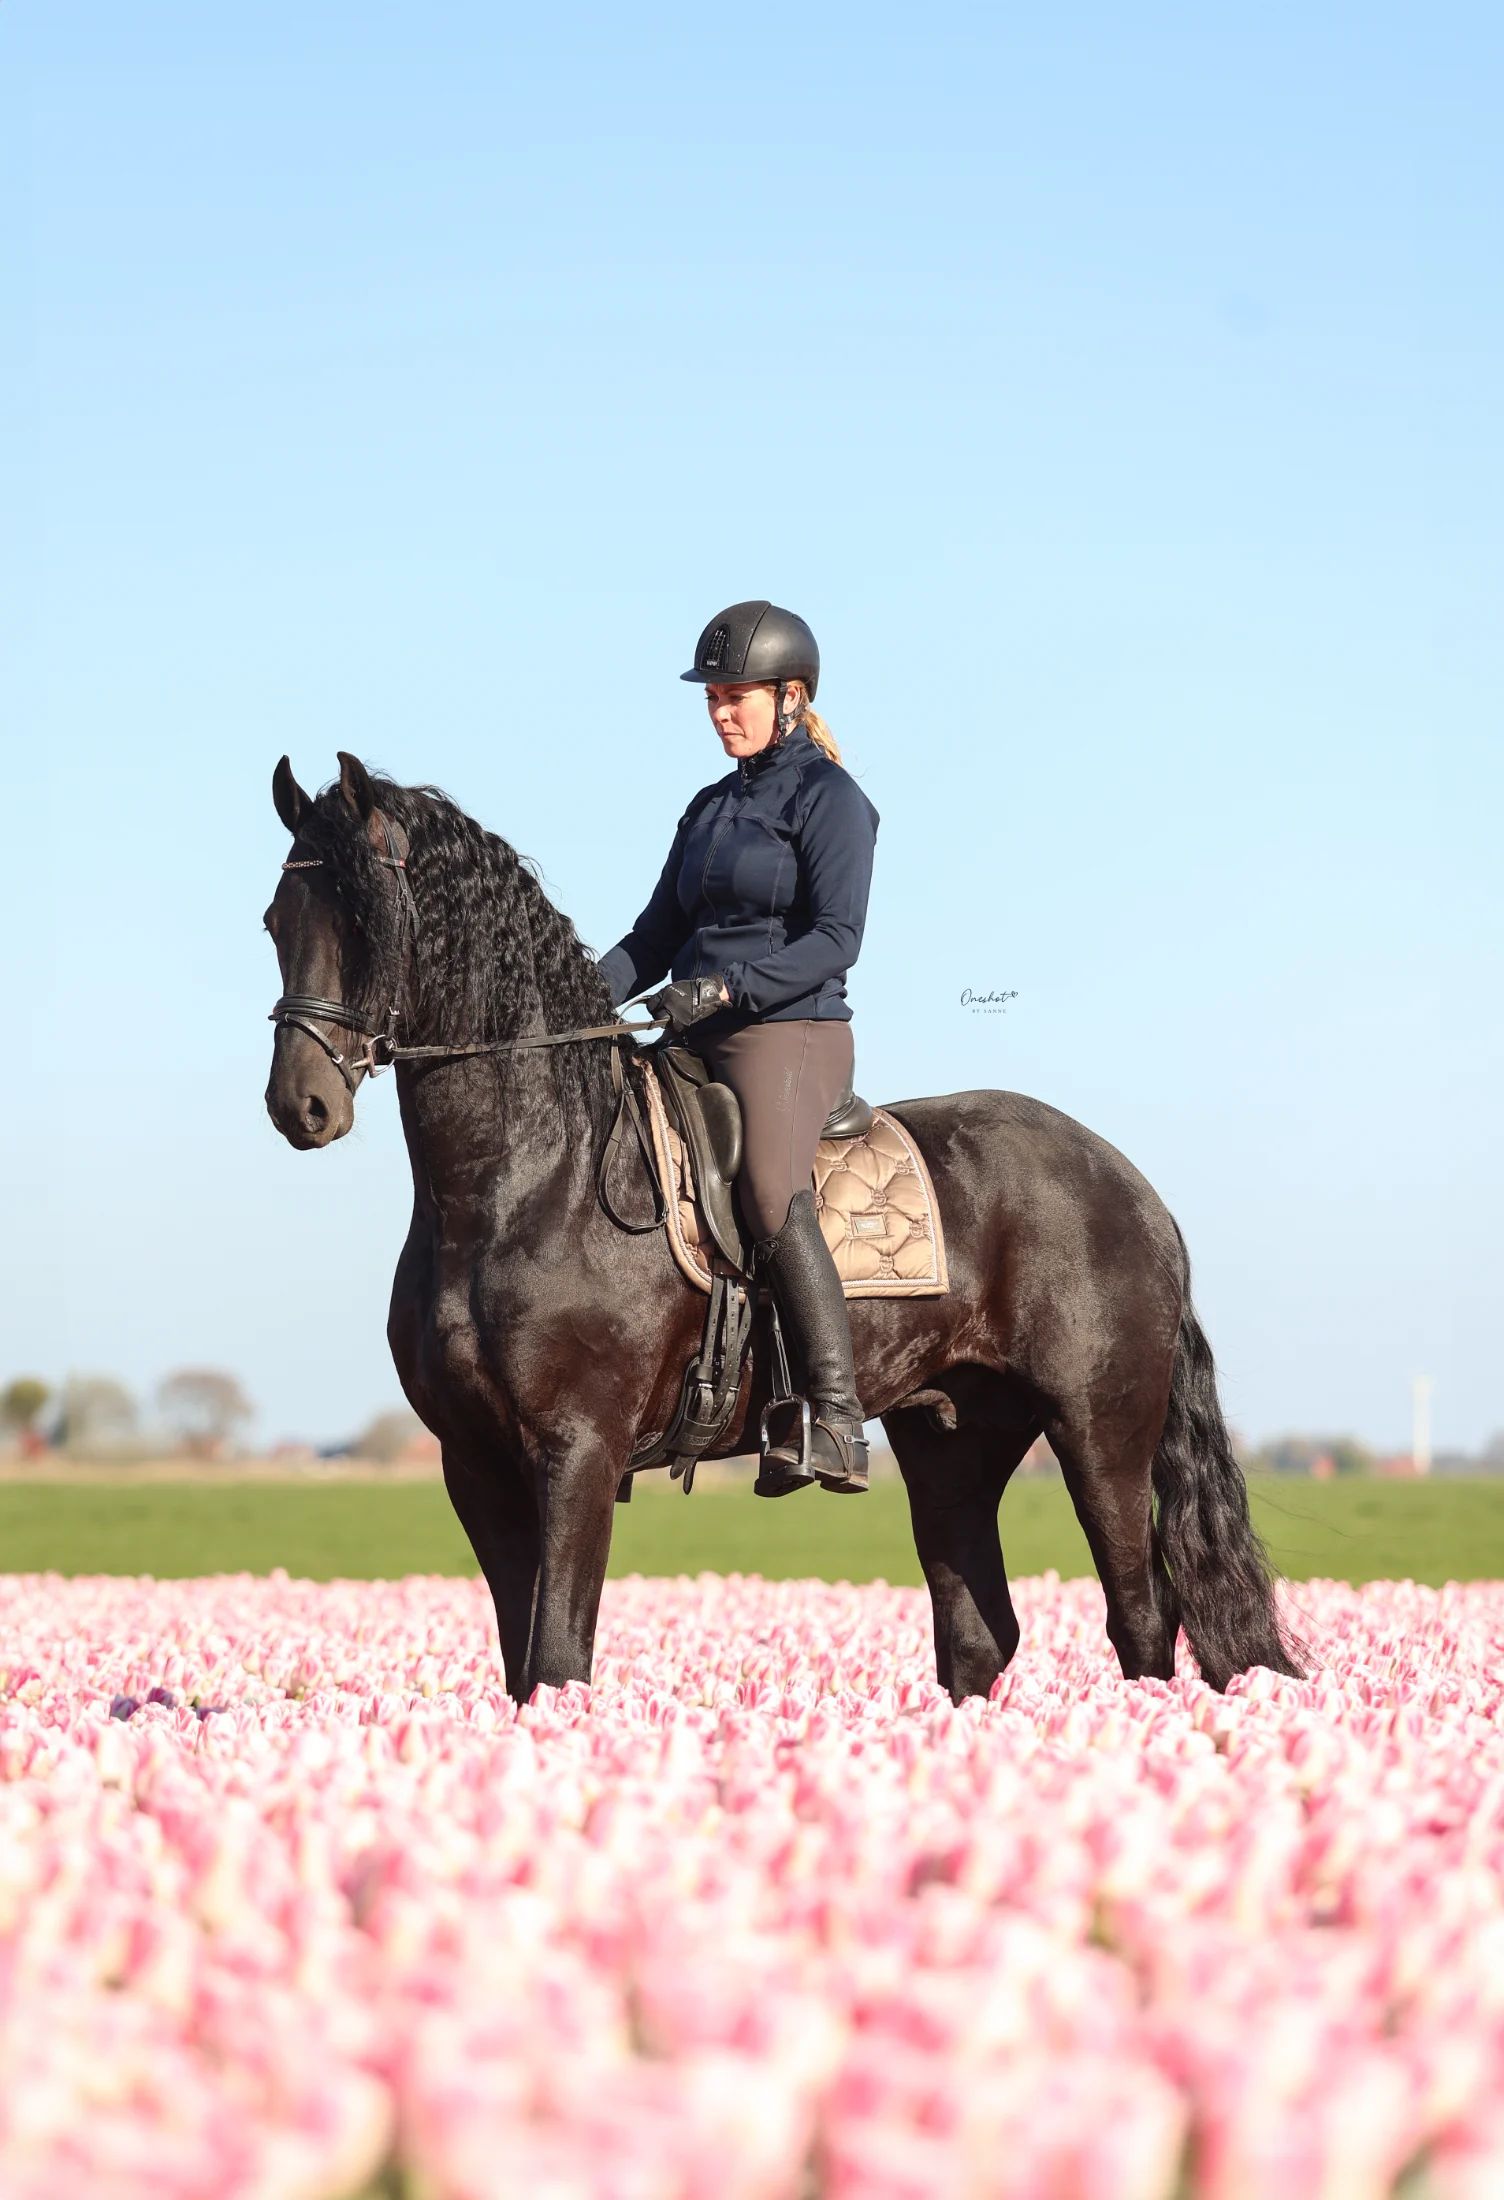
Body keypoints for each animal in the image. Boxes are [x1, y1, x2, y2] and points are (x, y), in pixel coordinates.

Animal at [263, 752, 1303, 1705]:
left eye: (367, 918)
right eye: (277, 920)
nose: (299, 1106)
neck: (528, 1181)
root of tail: (1132, 1186)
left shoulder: (577, 1451)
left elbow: (558, 1661)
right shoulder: (473, 1464)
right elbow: (525, 1670)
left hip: (1100, 1433)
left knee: (1141, 1618)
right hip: (954, 1443)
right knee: (980, 1630)